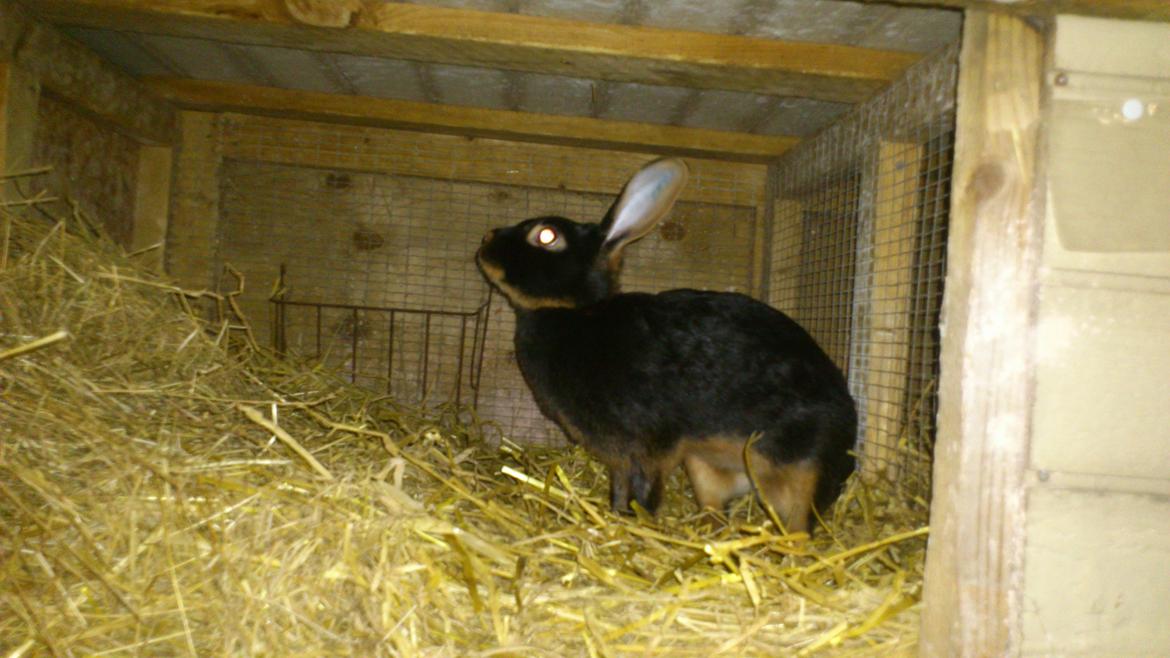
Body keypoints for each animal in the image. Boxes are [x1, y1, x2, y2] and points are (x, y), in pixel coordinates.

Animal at [476, 158, 856, 533]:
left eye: (546, 235)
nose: (486, 239)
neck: (577, 311)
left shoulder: (648, 449)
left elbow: (643, 488)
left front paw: (637, 522)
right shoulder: (621, 459)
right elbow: (619, 488)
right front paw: (616, 516)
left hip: (804, 470)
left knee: (800, 525)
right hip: (703, 467)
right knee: (717, 511)